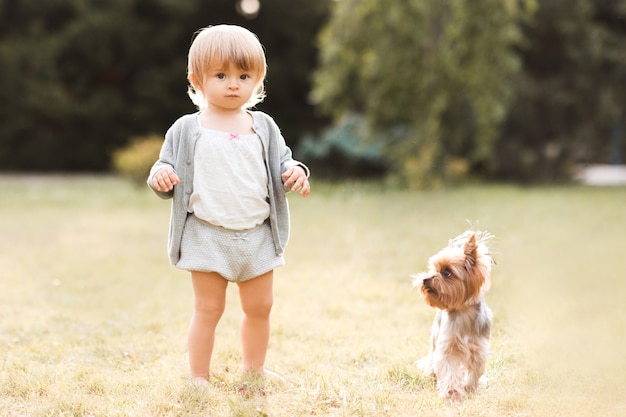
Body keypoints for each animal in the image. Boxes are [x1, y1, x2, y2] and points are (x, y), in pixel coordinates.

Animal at [410, 231, 492, 400]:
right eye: (433, 269)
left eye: (447, 273)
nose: (425, 279)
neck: (463, 312)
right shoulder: (446, 347)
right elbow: (449, 371)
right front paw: (452, 393)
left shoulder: (479, 350)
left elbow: (474, 372)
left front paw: (470, 388)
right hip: (435, 336)